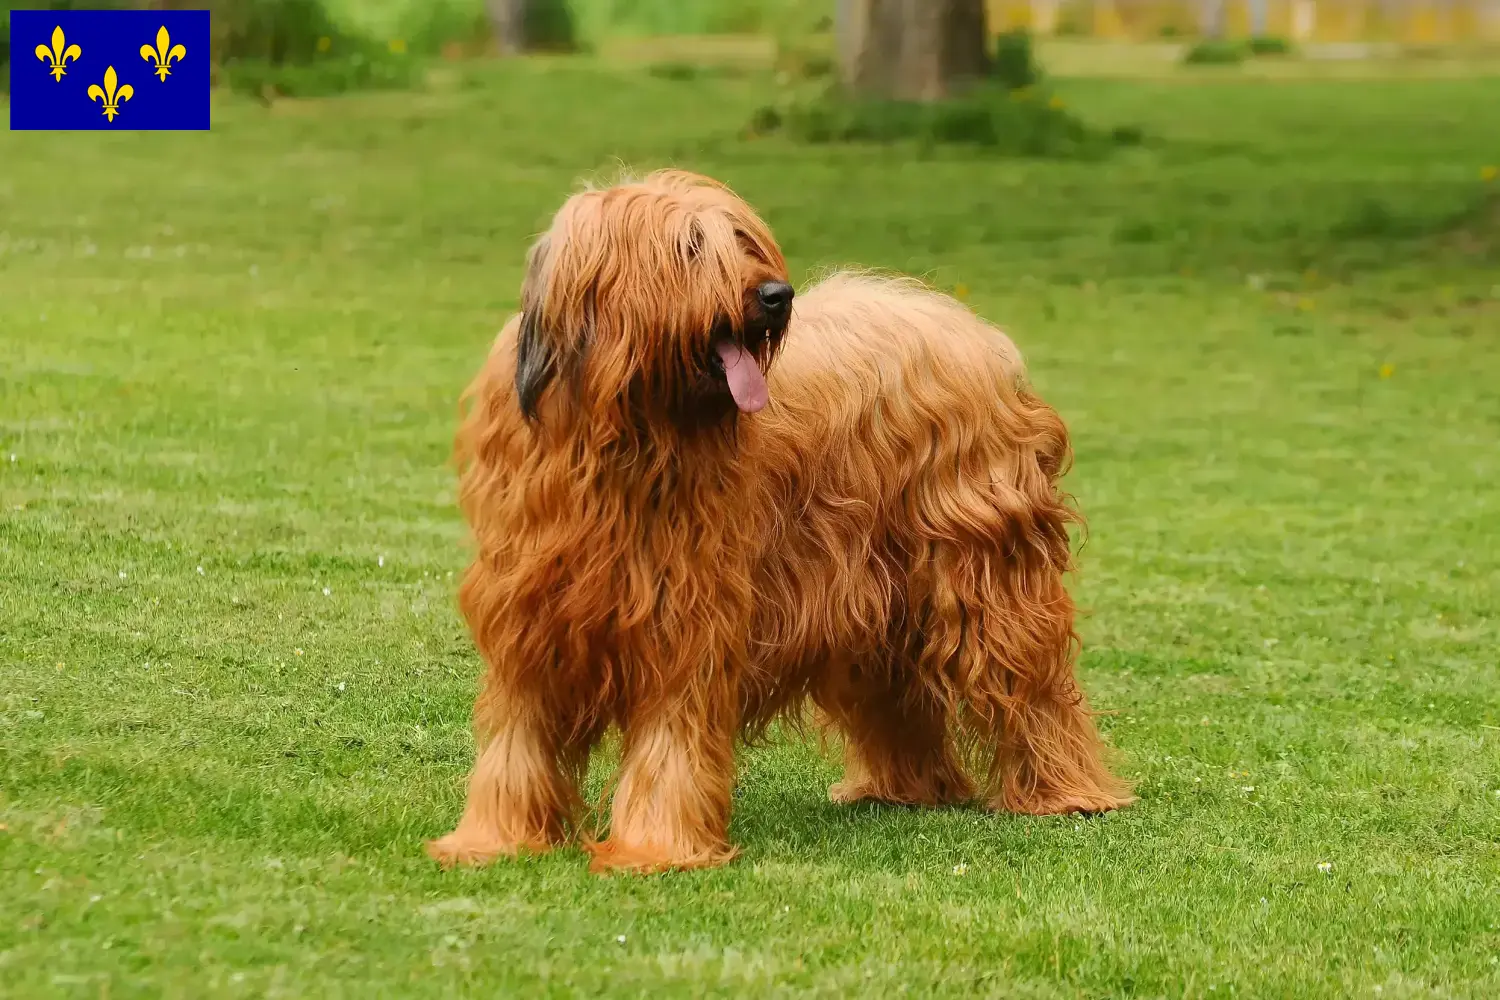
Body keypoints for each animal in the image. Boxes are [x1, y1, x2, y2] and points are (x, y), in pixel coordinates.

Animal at [429, 167, 1128, 869]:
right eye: (689, 247)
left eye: (745, 241)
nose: (775, 296)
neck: (628, 433)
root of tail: (972, 331)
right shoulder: (529, 604)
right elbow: (518, 734)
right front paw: (495, 838)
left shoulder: (691, 608)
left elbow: (671, 736)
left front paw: (656, 847)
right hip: (878, 593)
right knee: (898, 689)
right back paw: (907, 789)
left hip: (985, 575)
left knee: (1029, 682)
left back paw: (1066, 792)